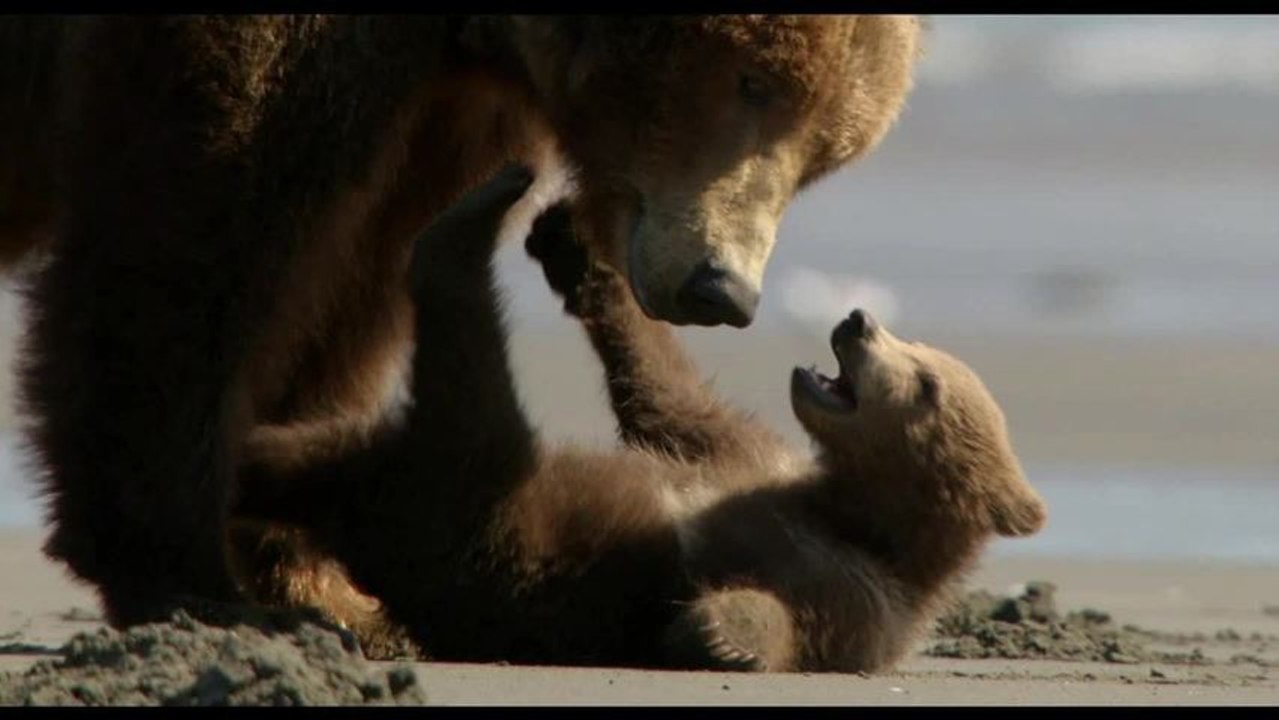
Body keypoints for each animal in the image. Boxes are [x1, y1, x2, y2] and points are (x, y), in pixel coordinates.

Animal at [0, 15, 925, 636]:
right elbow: (199, 228)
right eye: (753, 83)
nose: (721, 290)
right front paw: (183, 569)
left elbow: (351, 282)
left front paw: (313, 572)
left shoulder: (444, 109)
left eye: (827, 151)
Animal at [237, 166, 1048, 672]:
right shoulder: (744, 455)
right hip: (372, 461)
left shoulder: (861, 589)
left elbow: (792, 618)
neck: (847, 507)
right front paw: (582, 254)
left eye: (926, 382)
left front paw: (717, 631)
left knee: (464, 354)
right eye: (921, 348)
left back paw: (473, 220)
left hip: (489, 490)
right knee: (289, 453)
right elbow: (668, 397)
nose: (857, 319)